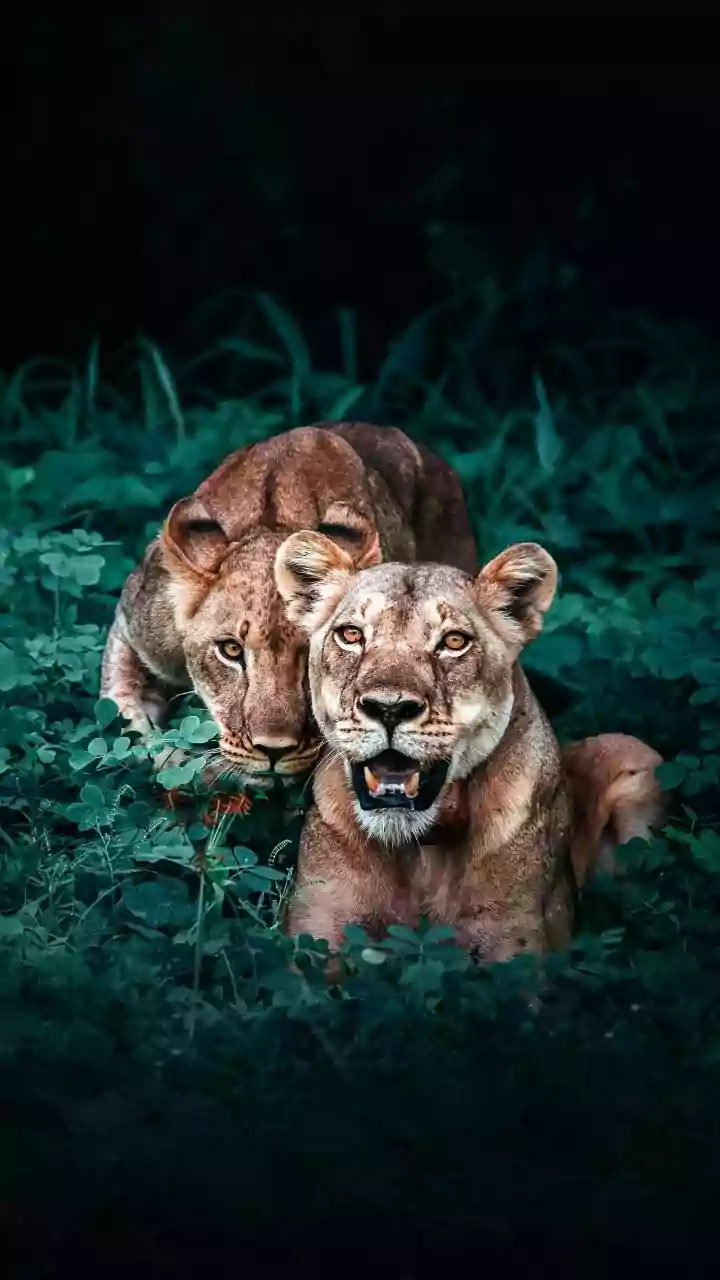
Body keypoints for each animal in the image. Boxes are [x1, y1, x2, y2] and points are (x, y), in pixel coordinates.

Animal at [275, 532, 665, 960]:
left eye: (454, 642)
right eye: (351, 635)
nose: (389, 708)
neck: (420, 850)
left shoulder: (514, 946)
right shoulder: (317, 931)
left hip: (632, 751)